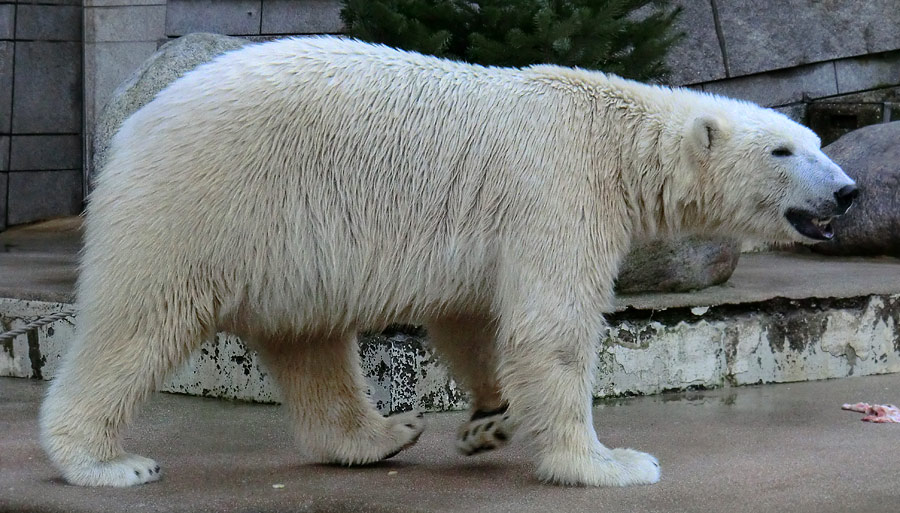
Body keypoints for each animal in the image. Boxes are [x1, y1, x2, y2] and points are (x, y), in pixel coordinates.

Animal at [42, 37, 856, 488]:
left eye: (815, 142)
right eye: (784, 150)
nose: (847, 192)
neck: (614, 136)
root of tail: (135, 125)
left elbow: (472, 315)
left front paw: (489, 421)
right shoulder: (557, 188)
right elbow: (551, 328)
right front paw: (610, 463)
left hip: (283, 237)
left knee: (309, 341)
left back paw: (379, 436)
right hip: (205, 201)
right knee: (139, 321)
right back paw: (105, 461)